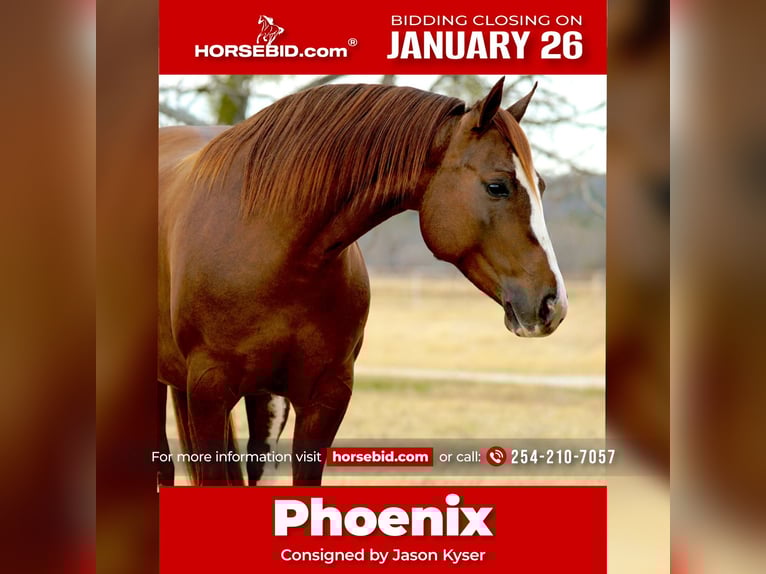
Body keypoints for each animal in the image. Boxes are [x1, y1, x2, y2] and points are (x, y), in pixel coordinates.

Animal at [157, 77, 568, 486]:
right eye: (497, 186)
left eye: (542, 186)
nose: (554, 304)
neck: (270, 240)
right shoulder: (209, 392)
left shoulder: (325, 396)